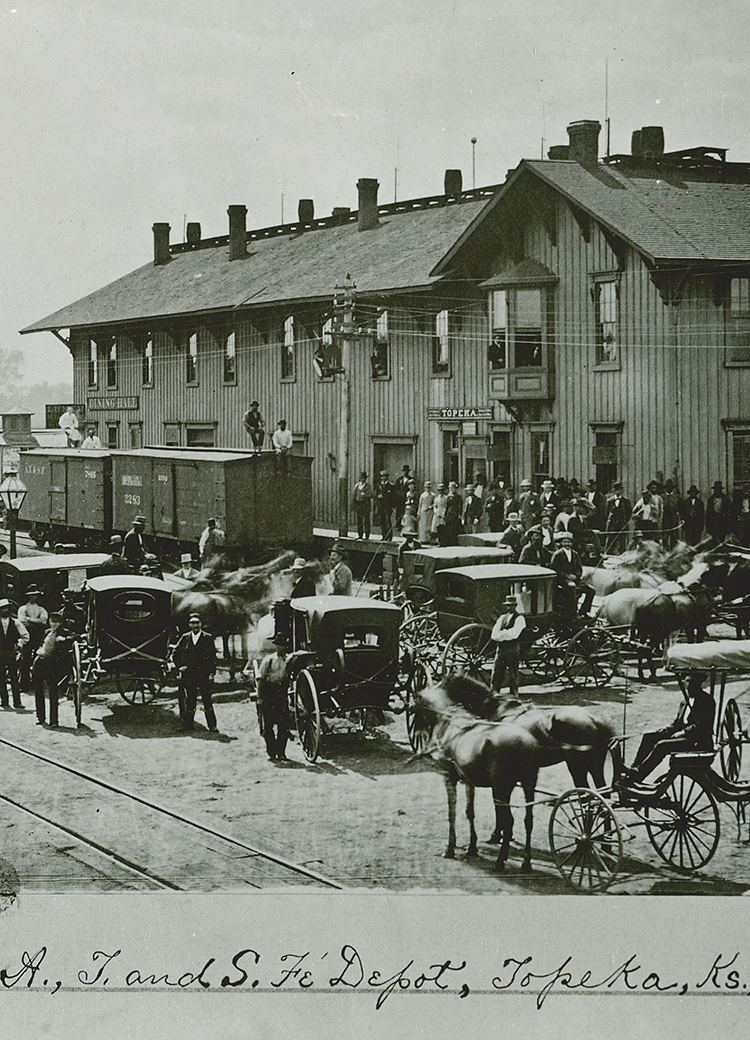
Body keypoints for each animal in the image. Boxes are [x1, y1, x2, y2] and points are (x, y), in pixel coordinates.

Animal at [418, 669, 611, 873]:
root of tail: (596, 721)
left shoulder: (498, 783)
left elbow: (499, 810)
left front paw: (497, 835)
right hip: (594, 768)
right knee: (602, 798)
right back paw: (605, 841)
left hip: (577, 768)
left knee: (588, 800)